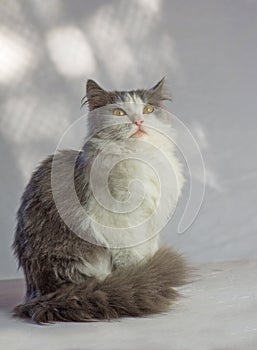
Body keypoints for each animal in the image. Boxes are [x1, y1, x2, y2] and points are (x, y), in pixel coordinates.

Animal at [13, 78, 189, 324]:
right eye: (118, 112)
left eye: (148, 109)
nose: (138, 121)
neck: (141, 159)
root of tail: (42, 295)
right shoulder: (119, 223)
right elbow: (132, 259)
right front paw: (143, 277)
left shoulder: (150, 223)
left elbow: (146, 254)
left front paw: (151, 273)